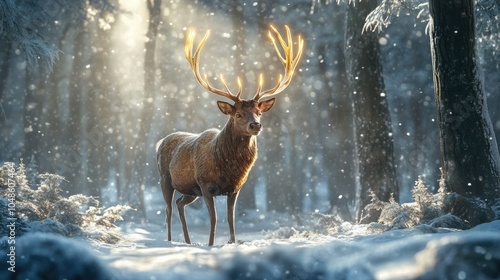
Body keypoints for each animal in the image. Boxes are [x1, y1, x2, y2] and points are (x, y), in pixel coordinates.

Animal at [157, 25, 304, 246]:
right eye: (238, 114)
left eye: (259, 112)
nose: (256, 125)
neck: (228, 167)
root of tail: (160, 142)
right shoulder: (206, 185)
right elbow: (214, 219)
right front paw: (210, 244)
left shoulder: (235, 188)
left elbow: (230, 219)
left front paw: (232, 242)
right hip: (165, 178)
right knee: (167, 210)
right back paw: (169, 240)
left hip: (191, 191)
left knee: (180, 203)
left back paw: (188, 241)